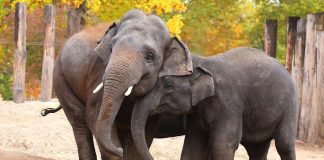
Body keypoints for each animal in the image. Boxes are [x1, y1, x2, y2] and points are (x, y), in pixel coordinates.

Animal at [54, 9, 192, 159]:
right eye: (111, 48)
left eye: (149, 57)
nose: (119, 150)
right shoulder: (100, 72)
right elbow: (94, 115)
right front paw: (118, 151)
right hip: (61, 79)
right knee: (79, 123)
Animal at [130, 47, 298, 160]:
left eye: (168, 86)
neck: (204, 61)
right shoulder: (197, 113)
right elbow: (193, 147)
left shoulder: (229, 104)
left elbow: (222, 144)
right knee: (256, 149)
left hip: (290, 106)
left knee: (284, 144)